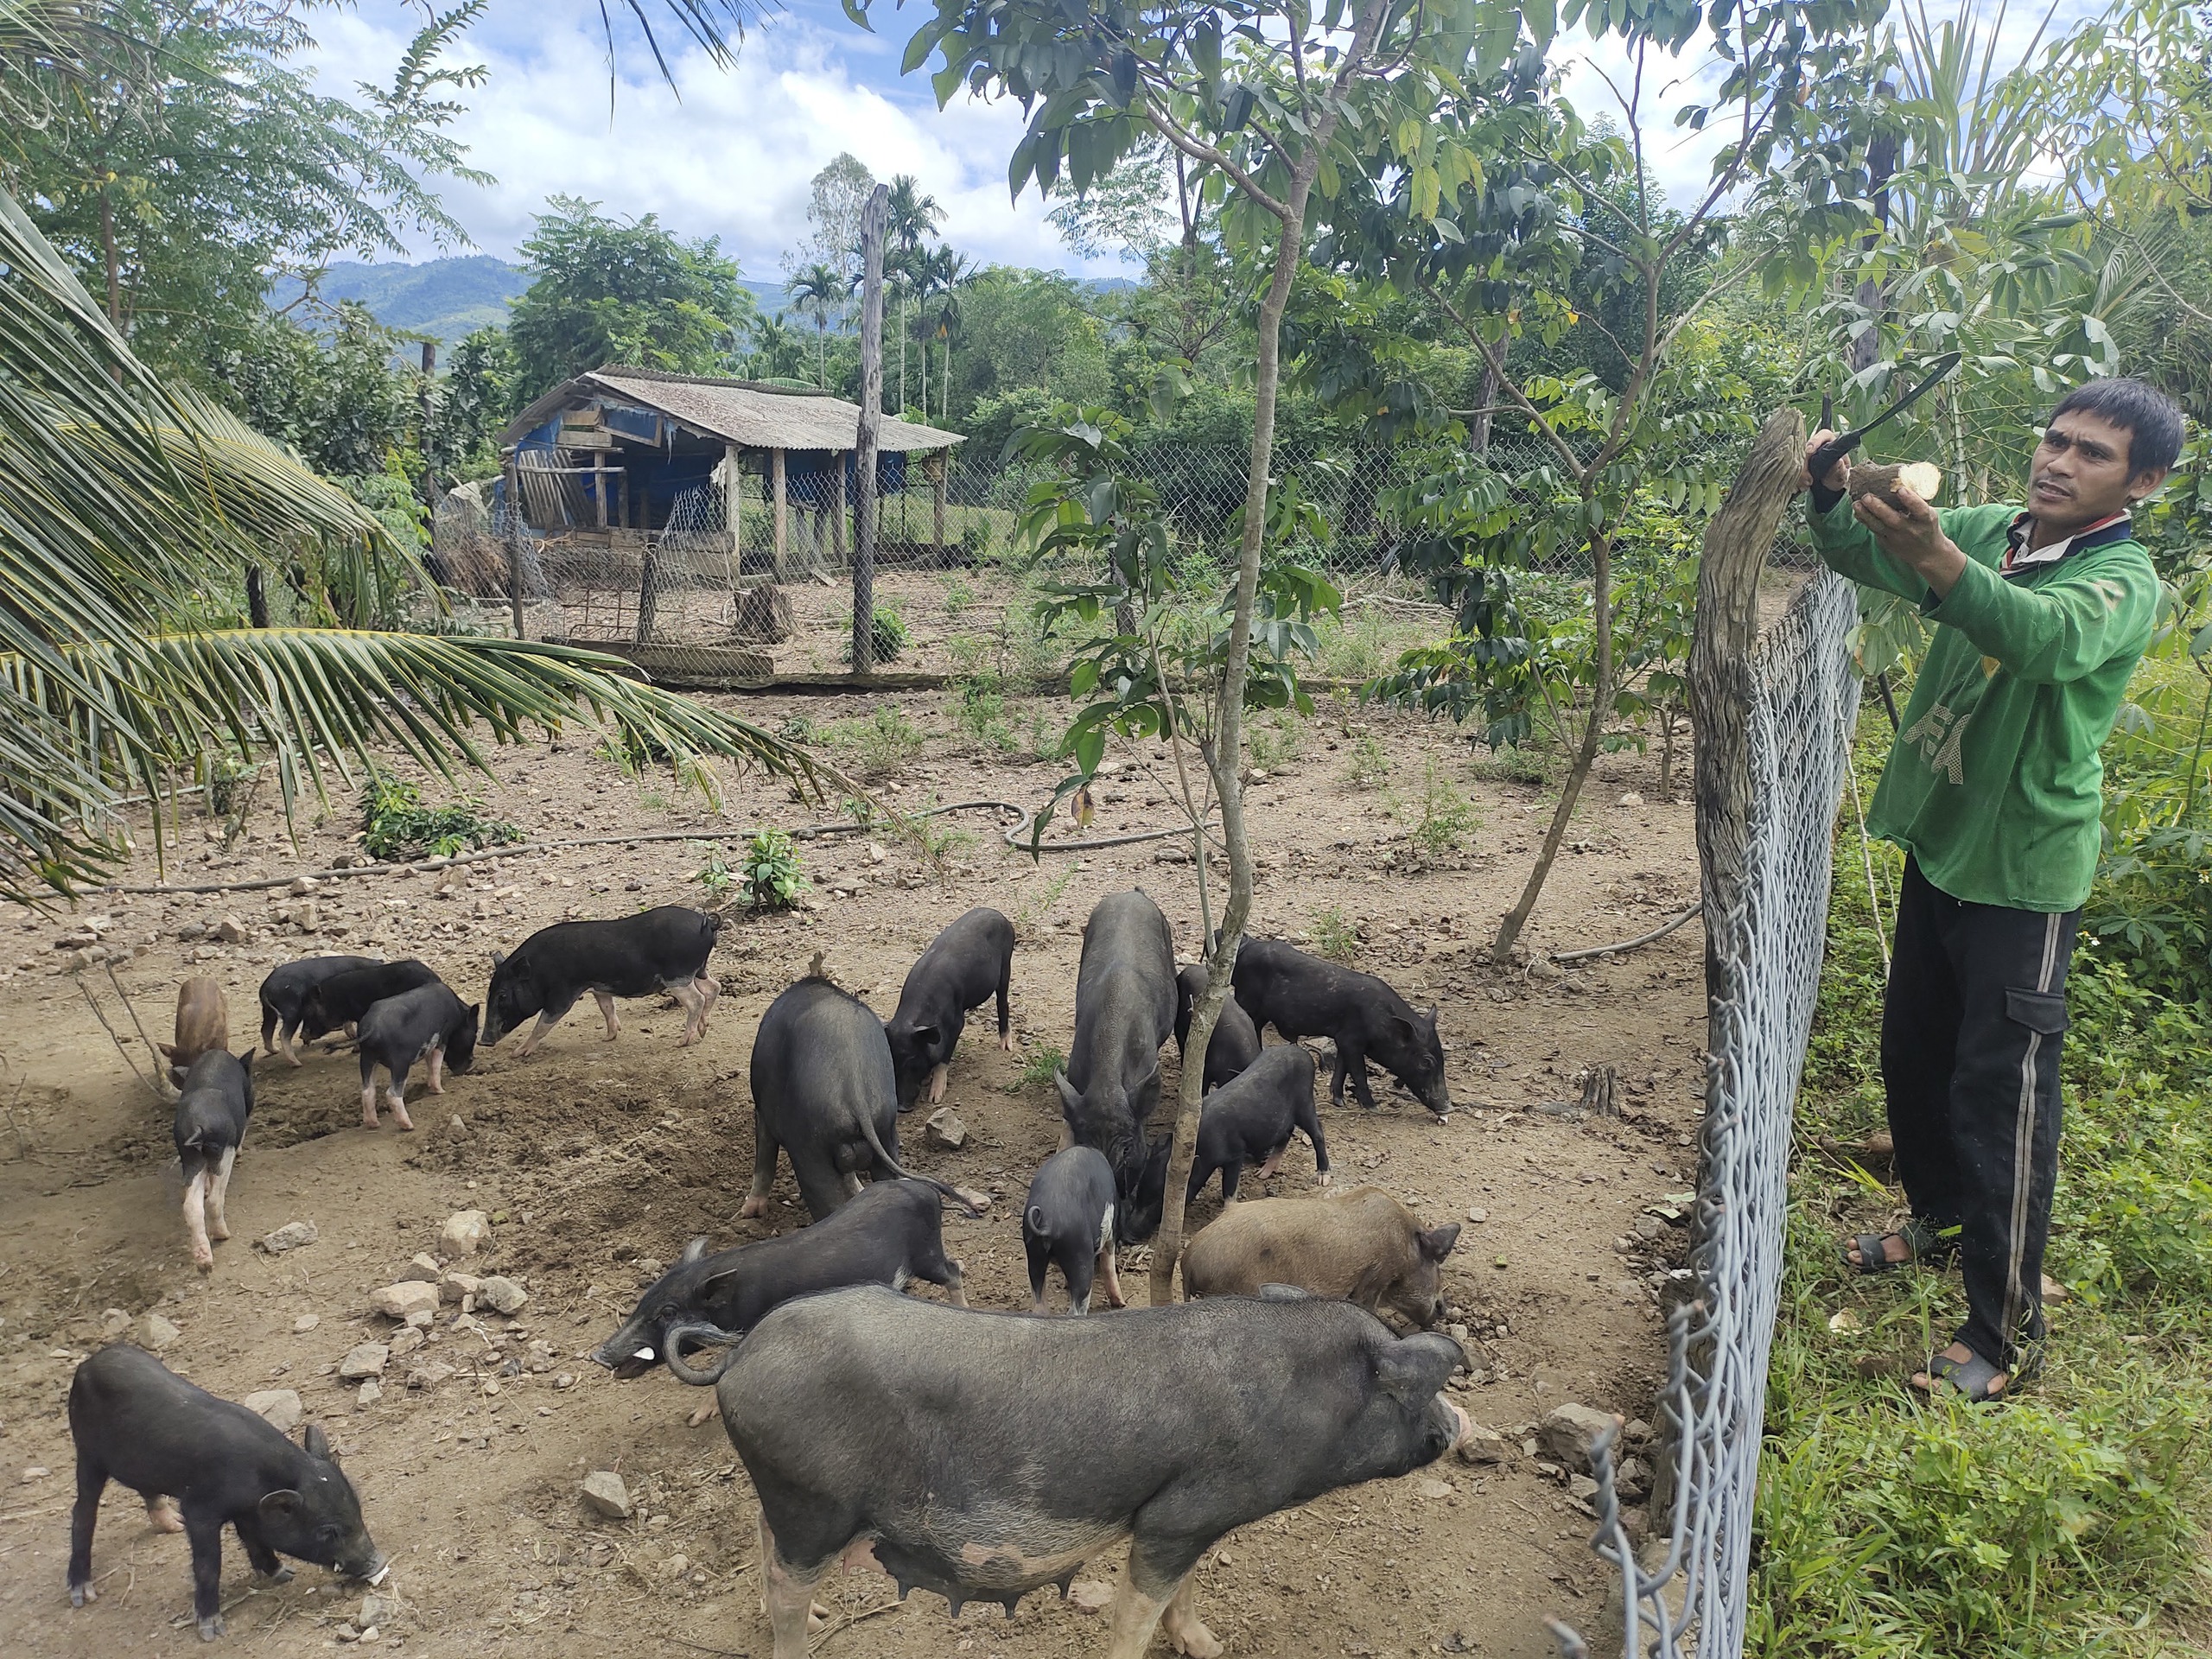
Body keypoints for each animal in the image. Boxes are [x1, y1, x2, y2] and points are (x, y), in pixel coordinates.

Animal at [67, 1344, 387, 1645]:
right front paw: (211, 1630)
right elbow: (209, 1565)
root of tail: (88, 1363)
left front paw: (284, 1574)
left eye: (358, 1510)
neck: (257, 1482)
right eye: (328, 1531)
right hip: (87, 1453)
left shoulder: (248, 1512)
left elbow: (255, 1540)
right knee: (82, 1512)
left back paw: (173, 1526)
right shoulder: (199, 1509)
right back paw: (82, 1594)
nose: (380, 1562)